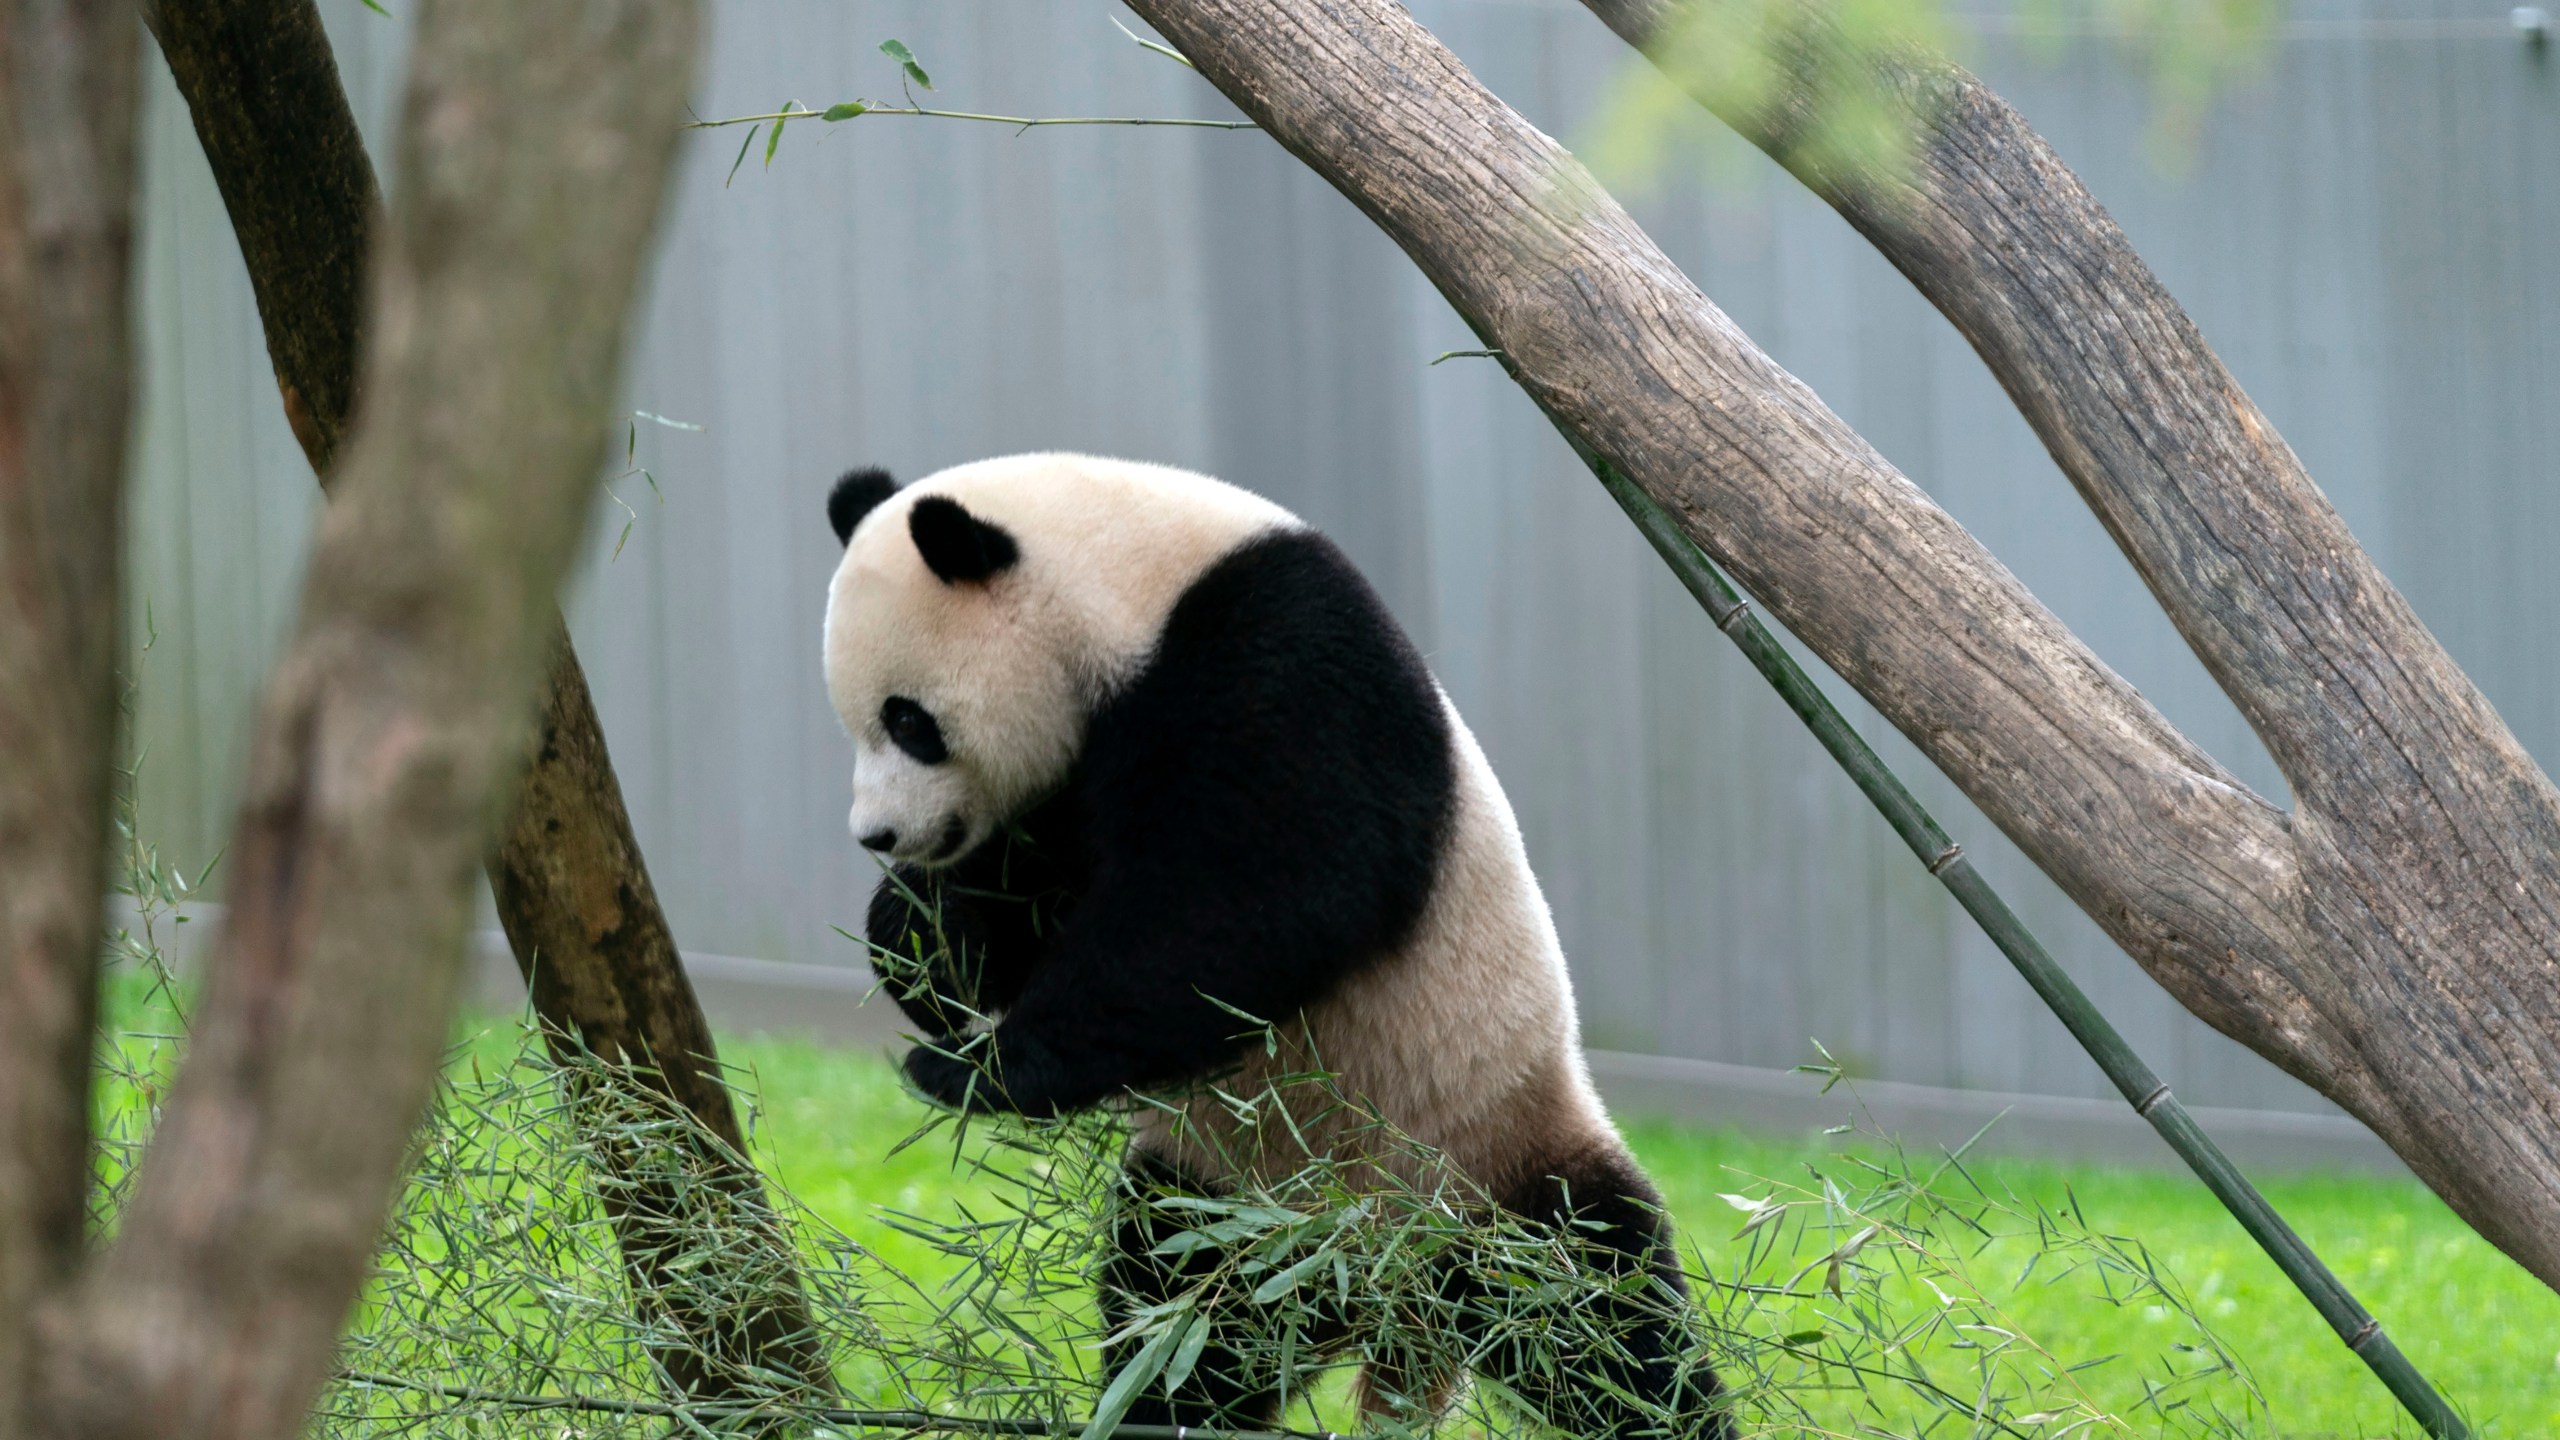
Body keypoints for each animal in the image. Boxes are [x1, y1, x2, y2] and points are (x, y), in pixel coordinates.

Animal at [824, 450, 1740, 1434]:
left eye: (910, 721)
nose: (877, 835)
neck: (1130, 576)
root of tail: (1386, 1294)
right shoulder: (1072, 787)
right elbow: (1028, 904)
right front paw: (919, 945)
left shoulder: (1275, 647)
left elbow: (1265, 893)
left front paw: (977, 1068)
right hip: (1216, 1202)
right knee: (1184, 1324)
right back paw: (1162, 1405)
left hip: (1492, 1160)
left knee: (1604, 1323)